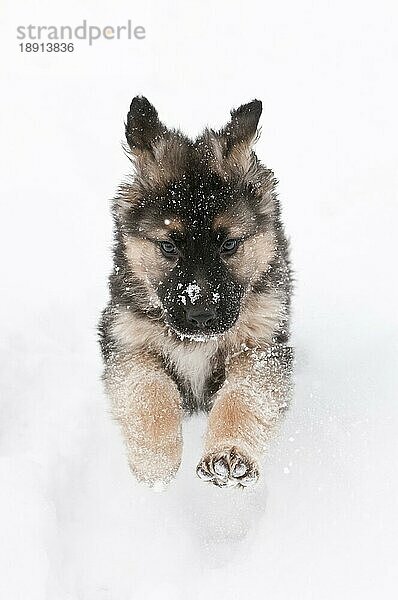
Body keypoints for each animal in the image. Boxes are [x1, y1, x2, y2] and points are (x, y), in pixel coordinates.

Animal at [99, 97, 292, 488]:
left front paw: (229, 455)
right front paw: (155, 465)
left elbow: (242, 398)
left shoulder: (261, 348)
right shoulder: (127, 343)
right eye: (169, 246)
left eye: (229, 244)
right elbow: (149, 392)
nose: (201, 315)